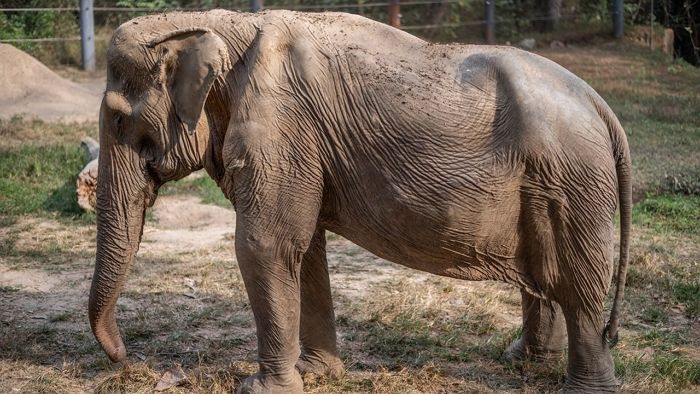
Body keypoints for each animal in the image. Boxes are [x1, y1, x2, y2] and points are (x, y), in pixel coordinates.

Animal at [90, 9, 632, 394]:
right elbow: (304, 248)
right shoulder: (301, 144)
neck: (222, 25)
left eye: (118, 121)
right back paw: (522, 361)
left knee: (579, 285)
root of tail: (603, 108)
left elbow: (265, 245)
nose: (125, 358)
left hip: (574, 182)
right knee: (548, 276)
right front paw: (318, 375)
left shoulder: (281, 127)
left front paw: (260, 388)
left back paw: (584, 388)